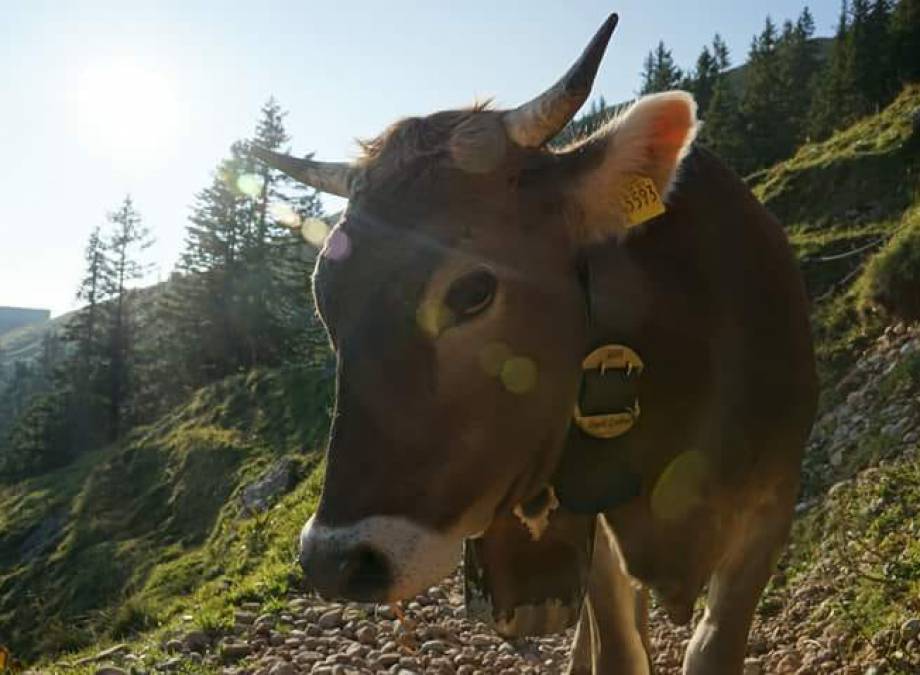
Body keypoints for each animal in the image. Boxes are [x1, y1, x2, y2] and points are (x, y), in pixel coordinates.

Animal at [253, 11, 820, 675]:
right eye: (324, 301)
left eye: (473, 290)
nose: (334, 562)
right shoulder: (591, 525)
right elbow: (619, 647)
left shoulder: (770, 511)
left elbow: (712, 647)